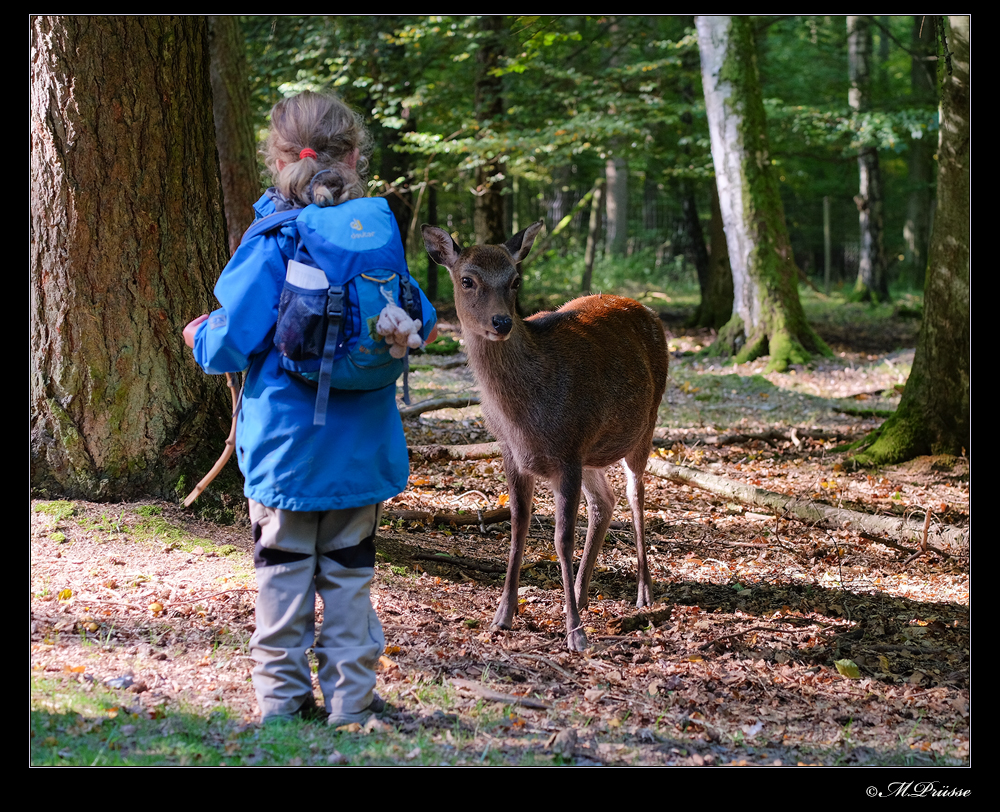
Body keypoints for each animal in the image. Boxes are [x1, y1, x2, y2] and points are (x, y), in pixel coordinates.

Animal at [424, 219, 672, 652]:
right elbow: (518, 528)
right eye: (467, 279)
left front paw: (575, 633)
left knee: (635, 496)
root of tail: (650, 312)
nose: (502, 322)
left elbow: (561, 539)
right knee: (604, 502)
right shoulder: (513, 453)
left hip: (644, 426)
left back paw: (643, 592)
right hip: (592, 451)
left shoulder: (568, 451)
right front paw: (502, 616)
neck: (522, 418)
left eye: (515, 280)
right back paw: (583, 592)